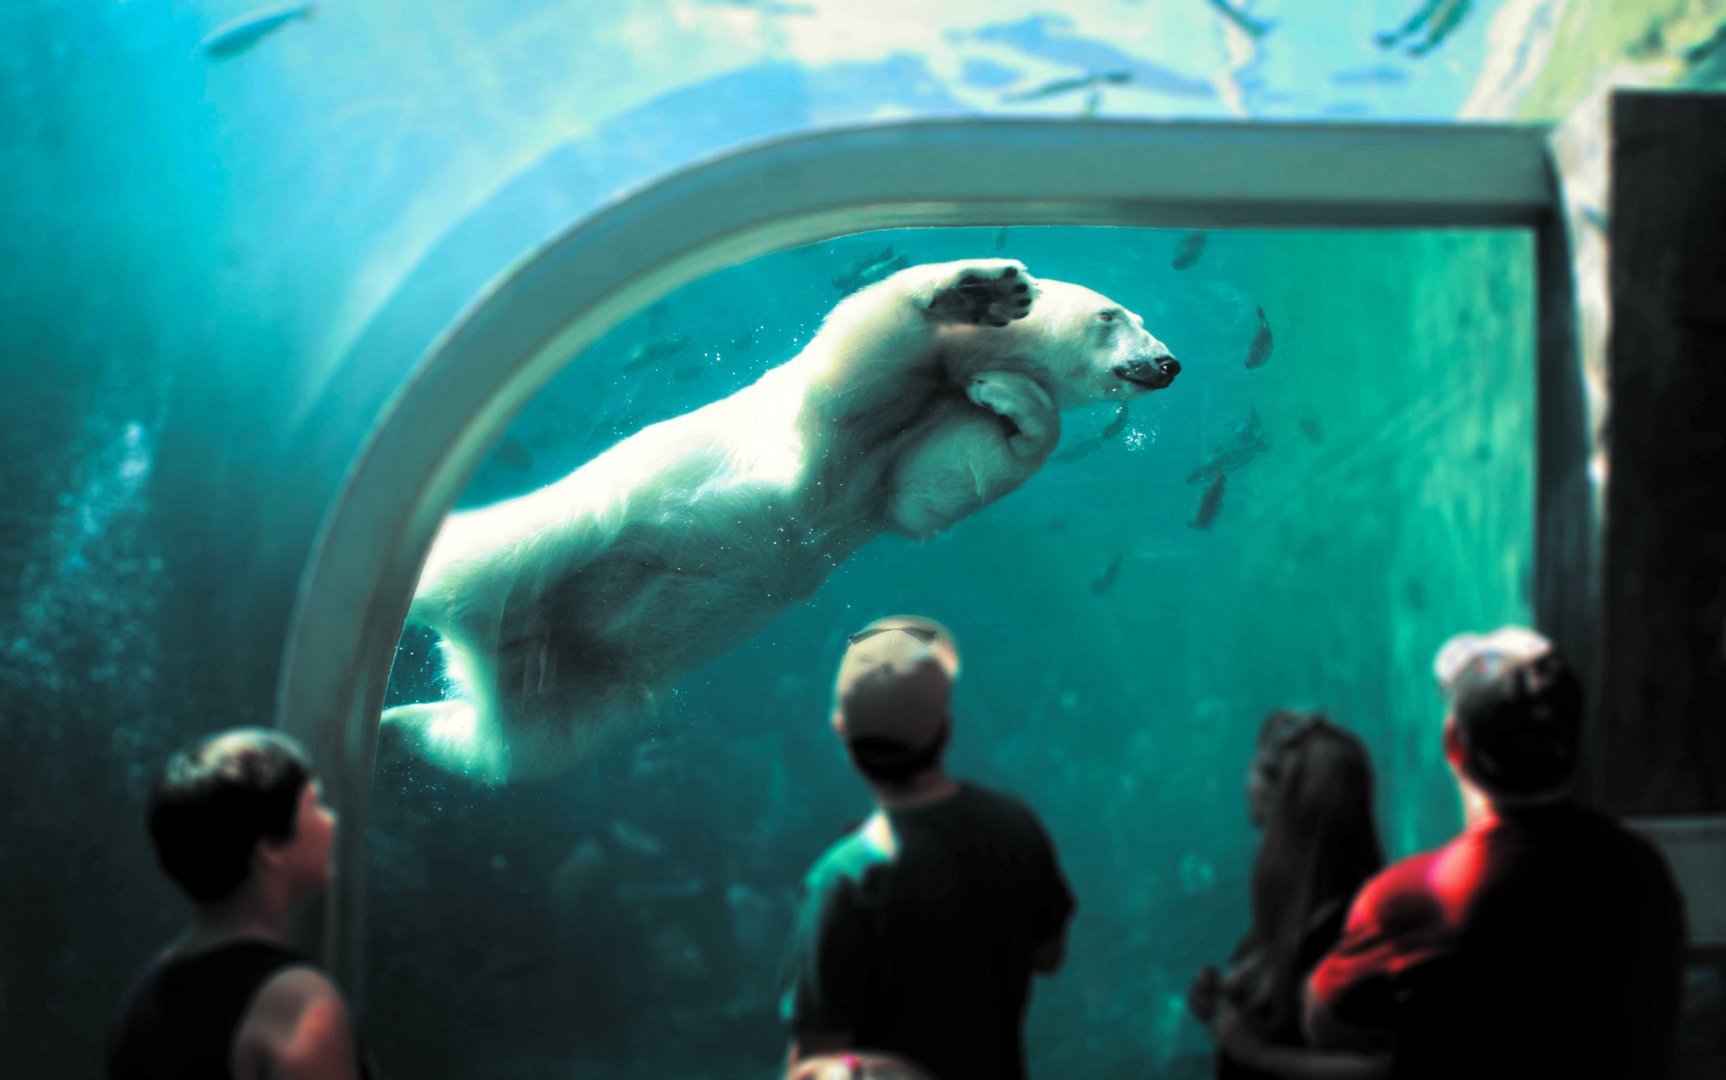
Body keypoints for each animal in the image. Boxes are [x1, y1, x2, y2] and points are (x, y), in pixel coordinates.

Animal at [386, 259, 1181, 782]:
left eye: (1139, 318)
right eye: (1114, 314)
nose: (1169, 363)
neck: (935, 384)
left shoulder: (897, 462)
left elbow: (933, 486)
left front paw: (1010, 398)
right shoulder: (835, 404)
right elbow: (864, 342)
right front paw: (980, 289)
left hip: (585, 689)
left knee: (515, 747)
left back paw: (405, 722)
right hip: (567, 531)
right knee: (495, 558)